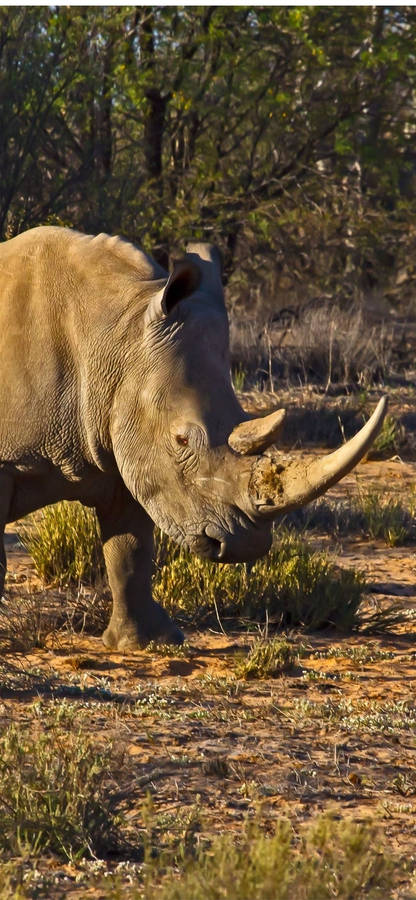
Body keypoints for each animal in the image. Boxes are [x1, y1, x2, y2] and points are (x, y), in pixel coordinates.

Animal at [0, 227, 386, 649]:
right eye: (182, 441)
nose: (245, 545)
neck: (114, 334)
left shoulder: (128, 447)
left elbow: (130, 552)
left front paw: (146, 642)